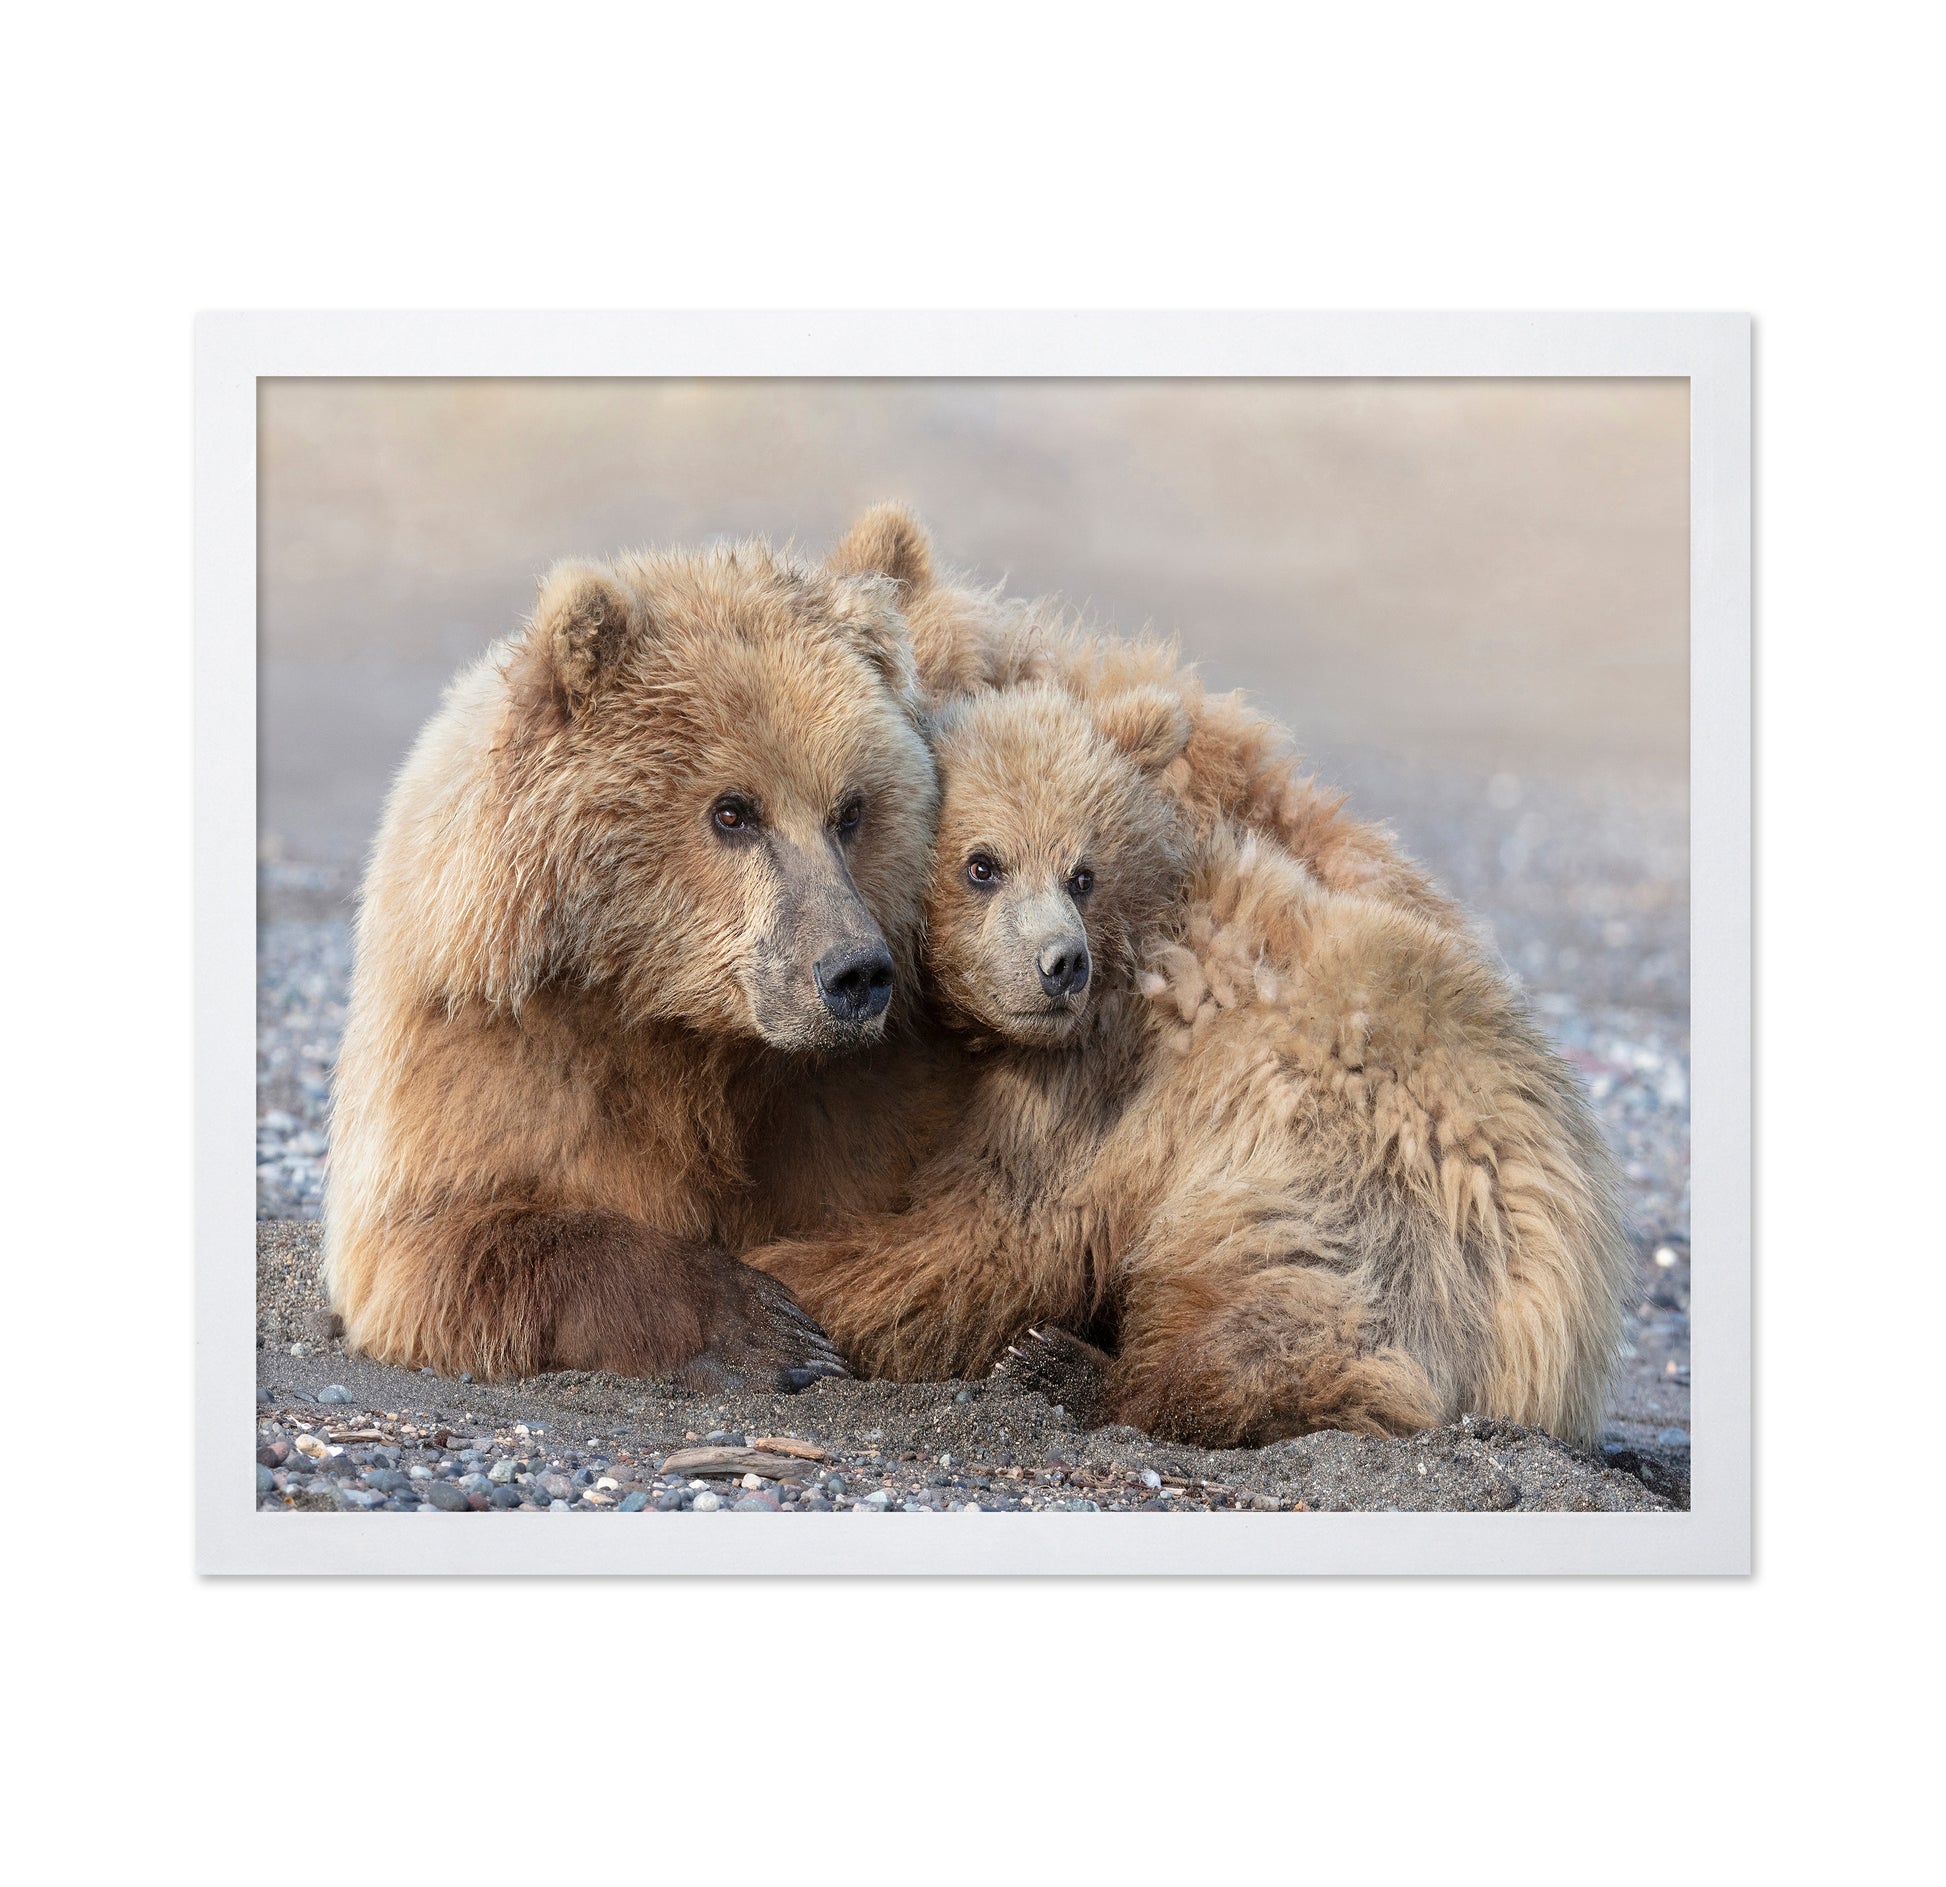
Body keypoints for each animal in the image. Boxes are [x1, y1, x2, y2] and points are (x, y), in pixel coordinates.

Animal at [323, 531, 965, 1387]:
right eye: (732, 810)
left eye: (851, 810)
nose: (854, 973)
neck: (675, 1026)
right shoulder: (488, 1056)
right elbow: (443, 1241)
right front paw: (766, 1324)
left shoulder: (859, 1099)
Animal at [748, 679, 1631, 1447]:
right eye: (982, 863)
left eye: (1082, 871)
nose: (1059, 963)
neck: (1134, 953)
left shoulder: (1098, 1090)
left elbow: (988, 1233)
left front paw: (780, 1278)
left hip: (1350, 1191)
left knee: (1281, 1323)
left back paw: (1067, 1366)